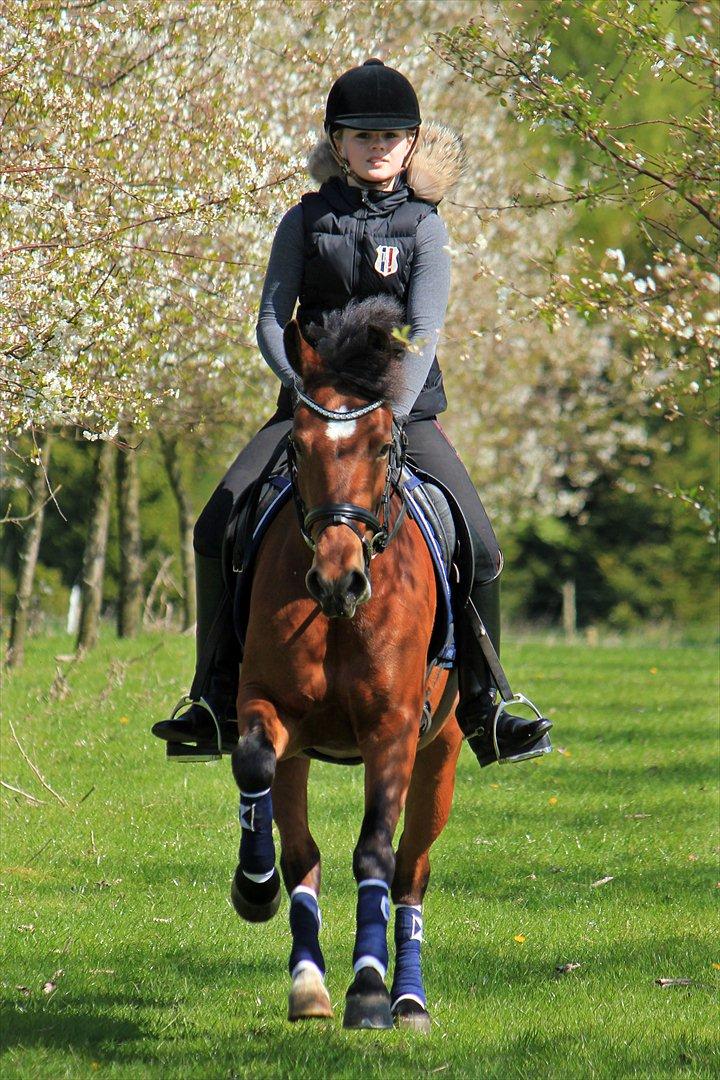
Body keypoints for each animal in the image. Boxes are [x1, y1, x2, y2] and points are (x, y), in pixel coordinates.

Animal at [231, 295, 462, 1028]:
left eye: (383, 444)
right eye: (299, 446)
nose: (338, 581)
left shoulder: (393, 730)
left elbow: (376, 852)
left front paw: (368, 990)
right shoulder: (268, 706)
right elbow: (255, 769)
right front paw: (254, 887)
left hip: (441, 753)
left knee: (412, 871)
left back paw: (408, 999)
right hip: (303, 753)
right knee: (303, 853)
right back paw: (308, 982)